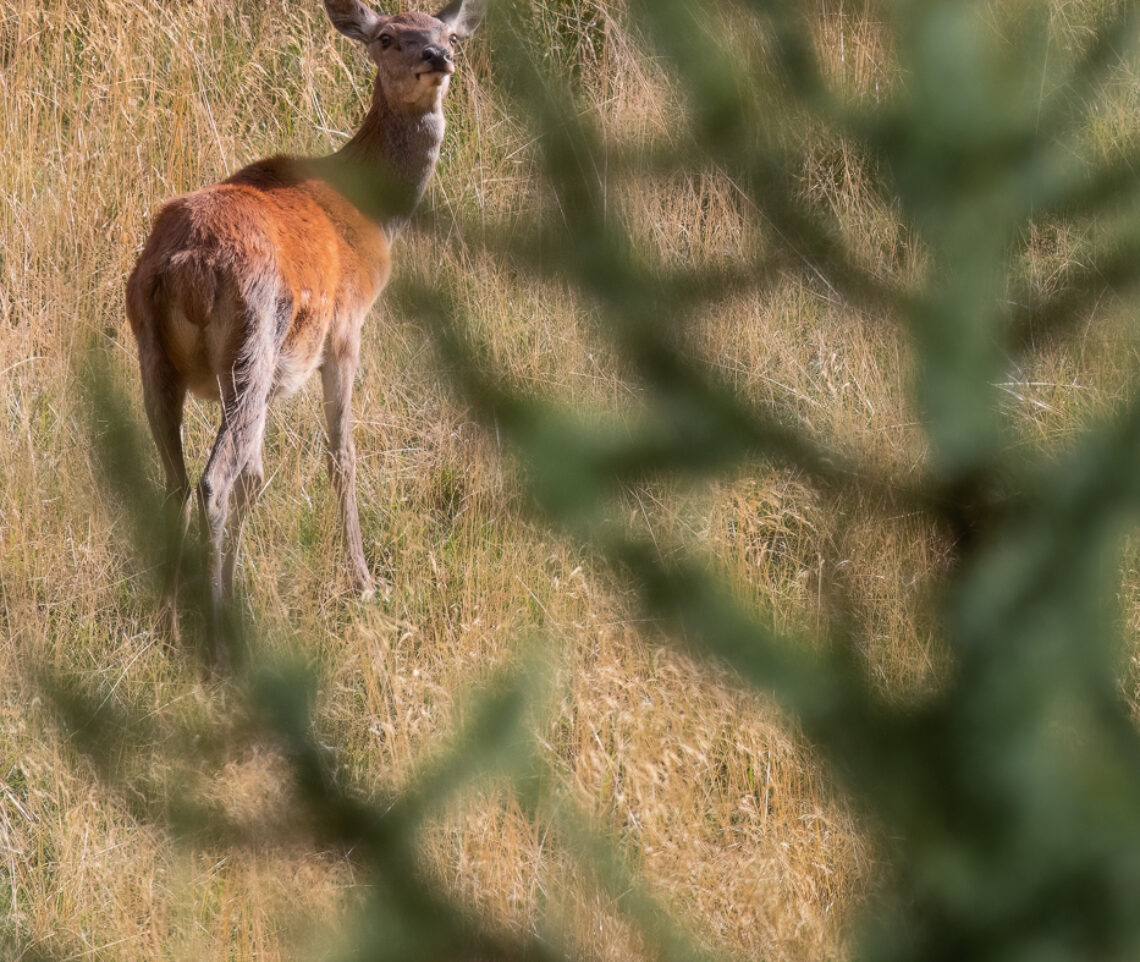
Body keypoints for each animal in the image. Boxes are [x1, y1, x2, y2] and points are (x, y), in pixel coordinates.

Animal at [127, 0, 483, 665]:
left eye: (448, 34)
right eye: (387, 37)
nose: (438, 57)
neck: (373, 218)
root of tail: (186, 266)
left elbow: (259, 479)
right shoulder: (345, 331)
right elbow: (341, 455)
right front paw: (364, 582)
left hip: (155, 353)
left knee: (176, 482)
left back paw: (167, 622)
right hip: (252, 345)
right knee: (212, 481)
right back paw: (216, 638)